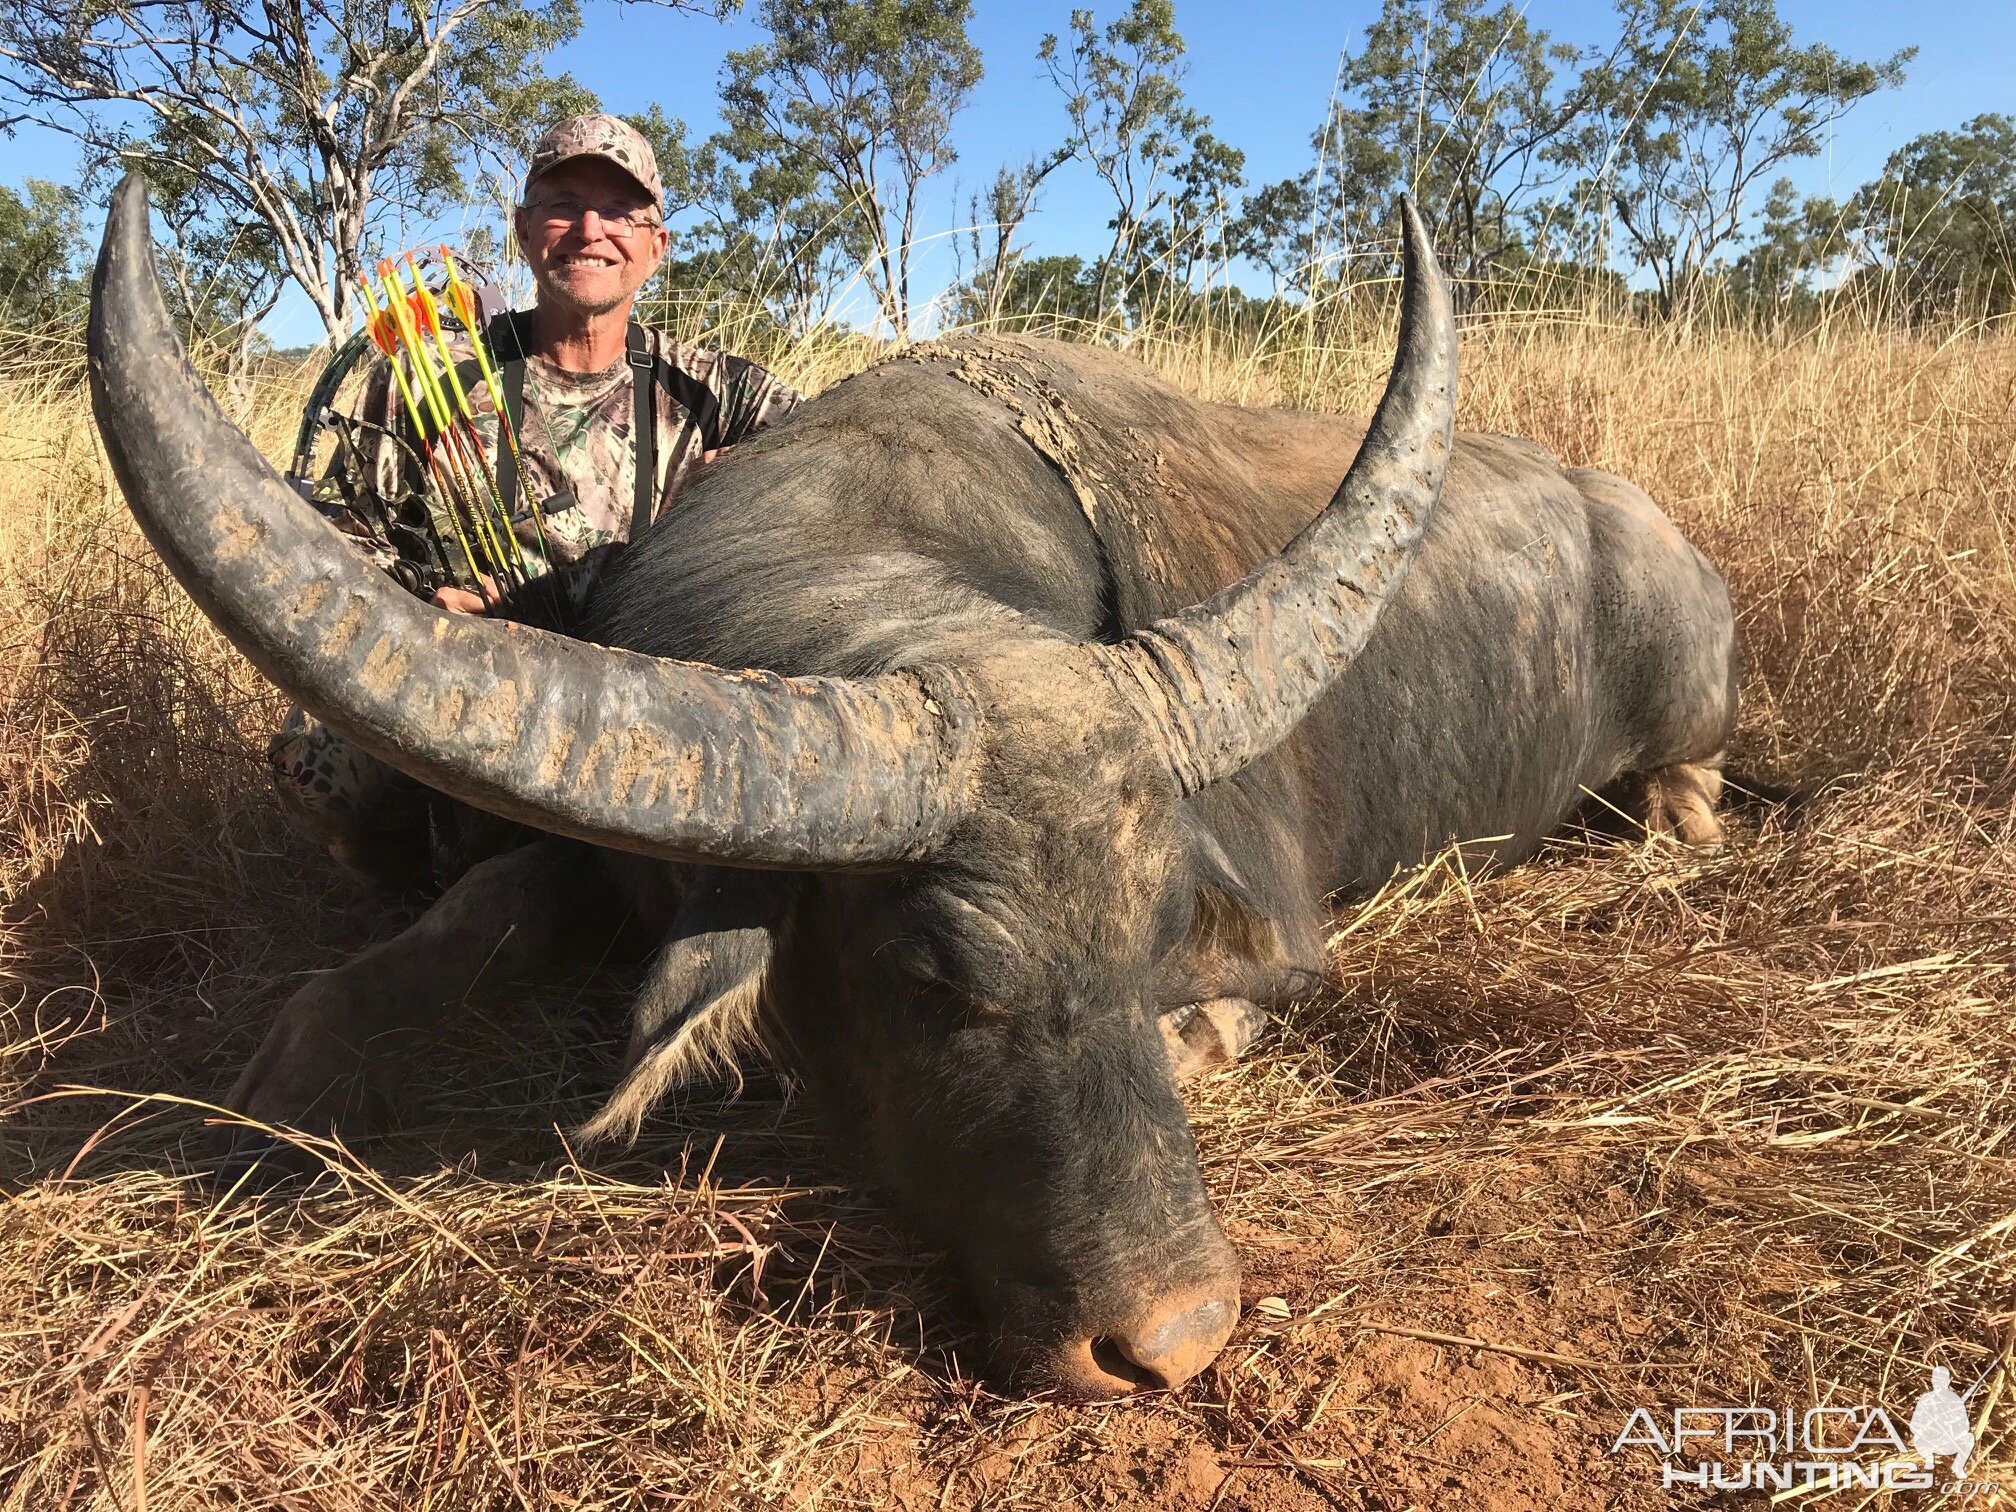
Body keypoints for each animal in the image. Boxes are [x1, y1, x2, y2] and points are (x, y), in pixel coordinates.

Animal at [90, 180, 1733, 1411]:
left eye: (1156, 944)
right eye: (935, 980)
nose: (1174, 1342)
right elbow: (458, 923)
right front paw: (294, 1079)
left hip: (1689, 719)